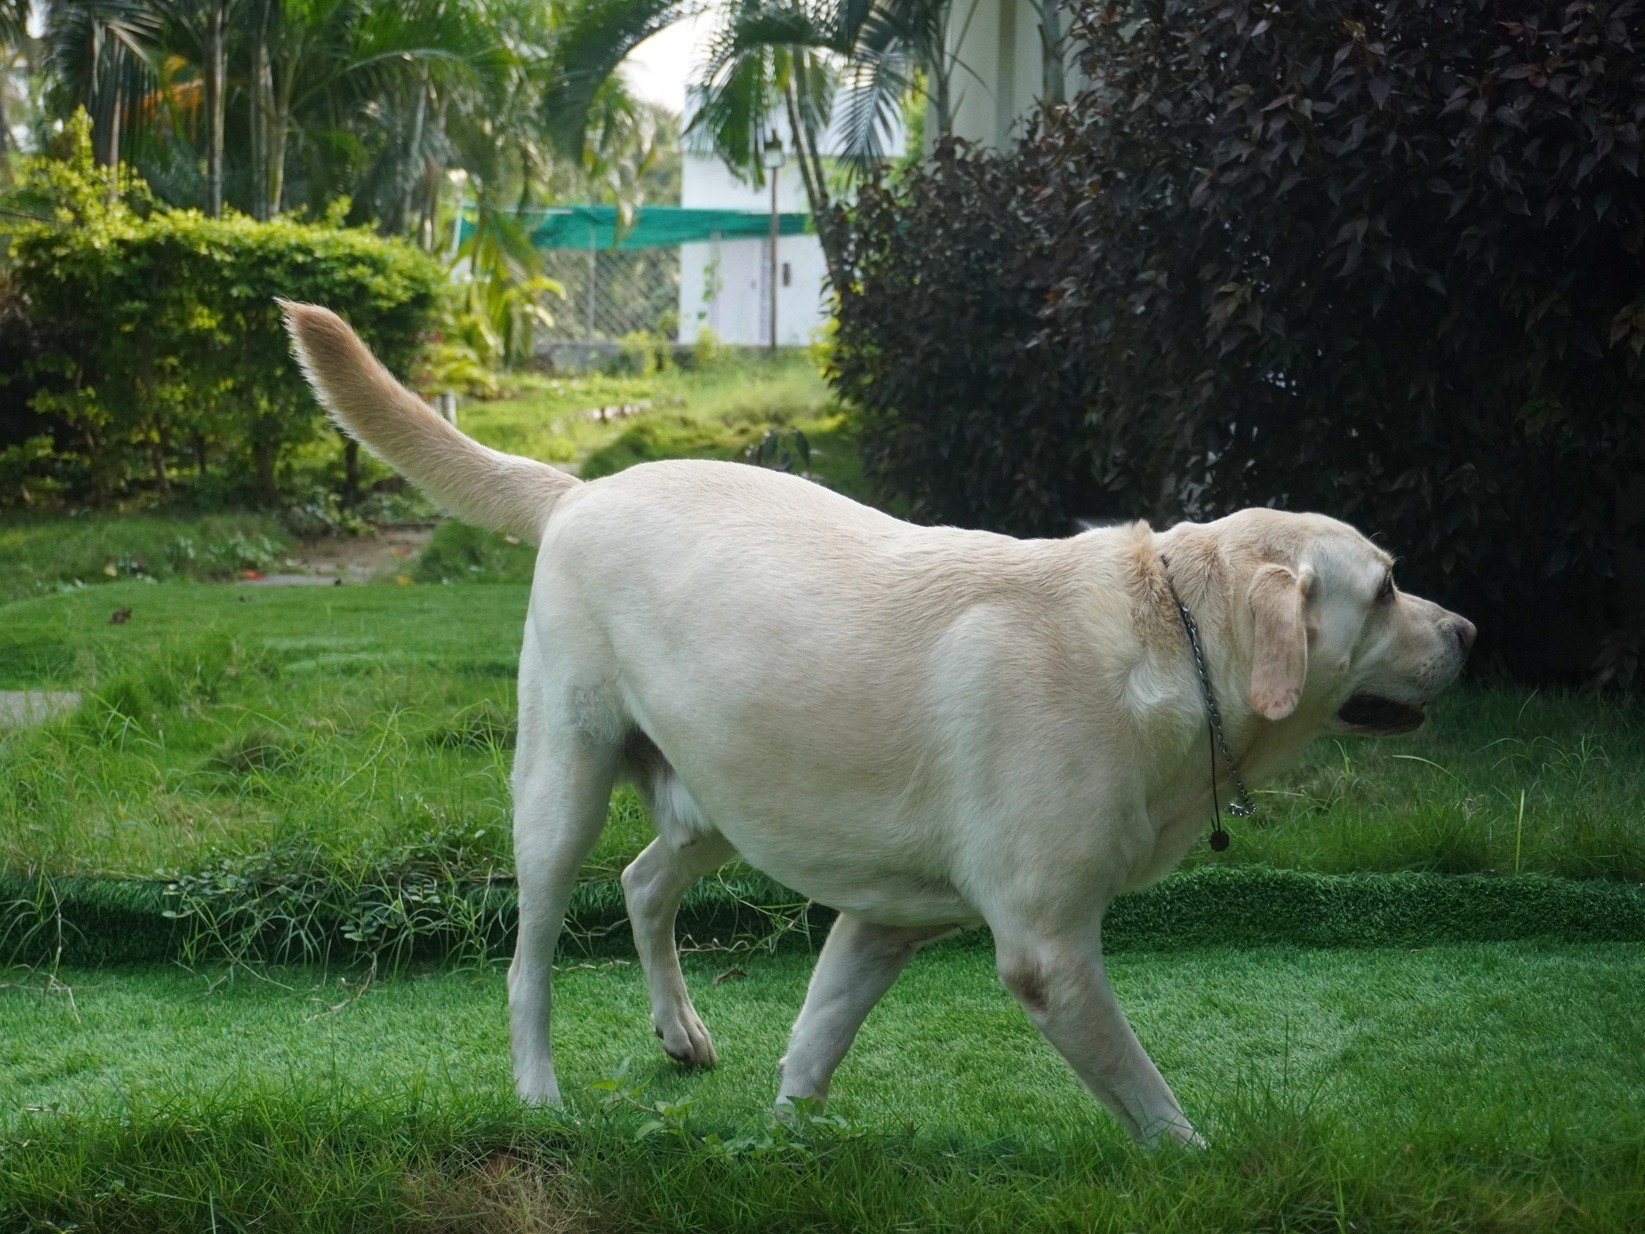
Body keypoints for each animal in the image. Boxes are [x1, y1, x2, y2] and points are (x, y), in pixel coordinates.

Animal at [283, 302, 1474, 1145]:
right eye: (1383, 589)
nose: (1469, 631)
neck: (1168, 631)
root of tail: (581, 490)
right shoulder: (1048, 950)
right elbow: (1148, 1095)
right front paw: (1197, 1160)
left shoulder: (879, 920)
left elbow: (814, 1043)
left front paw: (783, 1142)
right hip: (561, 786)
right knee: (531, 954)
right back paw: (538, 1092)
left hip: (728, 789)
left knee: (643, 882)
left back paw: (679, 1030)